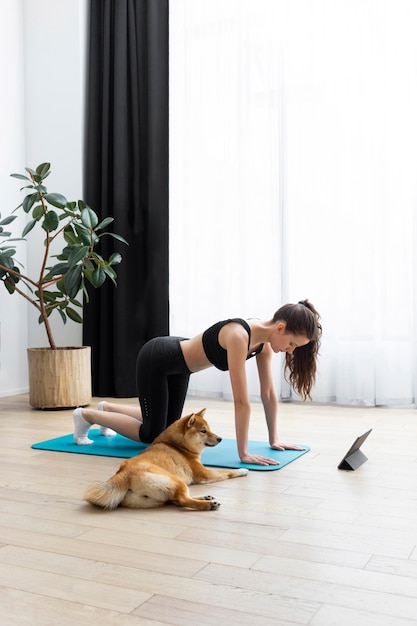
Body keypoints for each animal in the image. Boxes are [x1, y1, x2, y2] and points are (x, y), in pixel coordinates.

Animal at [83, 410, 247, 508]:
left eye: (210, 429)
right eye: (203, 431)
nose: (220, 439)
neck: (178, 446)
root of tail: (124, 474)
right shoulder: (205, 474)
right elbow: (227, 472)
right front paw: (242, 470)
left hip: (153, 499)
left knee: (176, 500)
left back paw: (205, 498)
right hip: (176, 481)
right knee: (183, 500)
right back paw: (209, 505)